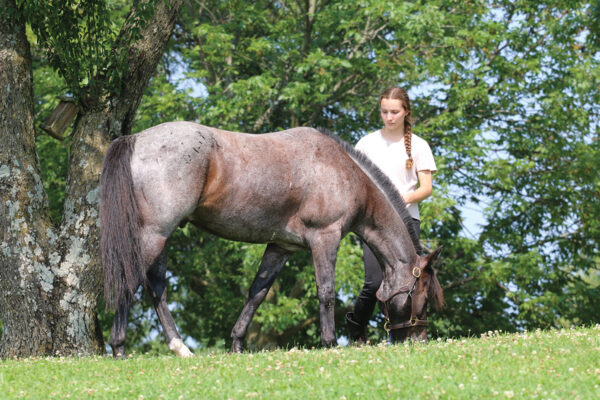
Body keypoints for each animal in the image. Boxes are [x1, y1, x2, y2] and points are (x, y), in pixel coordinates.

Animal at [99, 119, 446, 356]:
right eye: (422, 296)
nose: (418, 340)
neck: (345, 172)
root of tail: (135, 139)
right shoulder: (325, 237)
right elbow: (326, 292)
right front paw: (330, 342)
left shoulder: (281, 247)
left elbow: (257, 292)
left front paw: (237, 343)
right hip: (155, 235)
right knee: (132, 281)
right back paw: (119, 347)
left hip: (159, 237)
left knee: (156, 287)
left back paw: (180, 347)